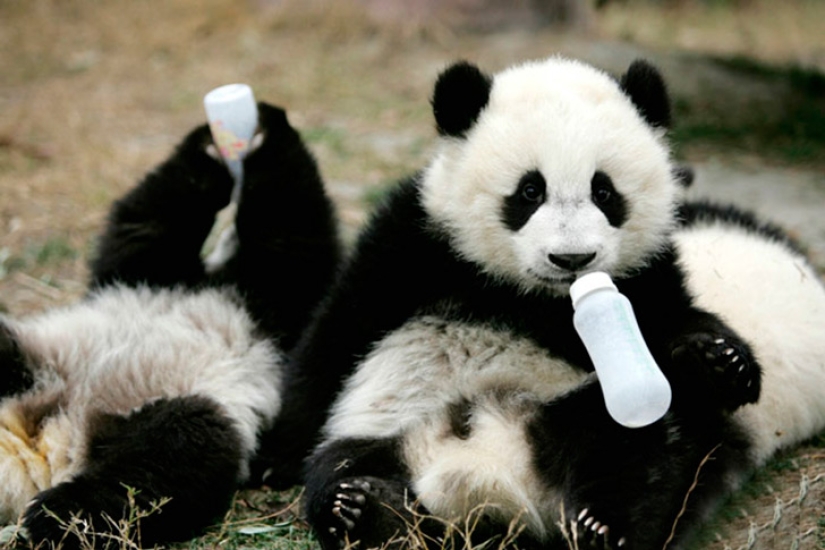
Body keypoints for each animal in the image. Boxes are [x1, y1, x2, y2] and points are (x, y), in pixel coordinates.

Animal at [0, 102, 340, 548]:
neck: (216, 278)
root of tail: (52, 440)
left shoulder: (269, 310)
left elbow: (292, 237)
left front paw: (263, 129)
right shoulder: (145, 275)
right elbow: (148, 218)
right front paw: (211, 145)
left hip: (175, 402)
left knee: (169, 457)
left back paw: (55, 514)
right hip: (33, 354)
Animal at [259, 57, 825, 550]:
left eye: (604, 192)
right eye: (530, 190)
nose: (572, 258)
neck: (533, 298)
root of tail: (492, 482)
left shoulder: (647, 274)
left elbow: (673, 326)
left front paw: (723, 359)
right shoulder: (419, 242)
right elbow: (340, 331)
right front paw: (275, 456)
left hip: (596, 416)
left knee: (639, 454)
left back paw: (601, 524)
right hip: (388, 428)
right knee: (339, 468)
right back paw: (367, 509)